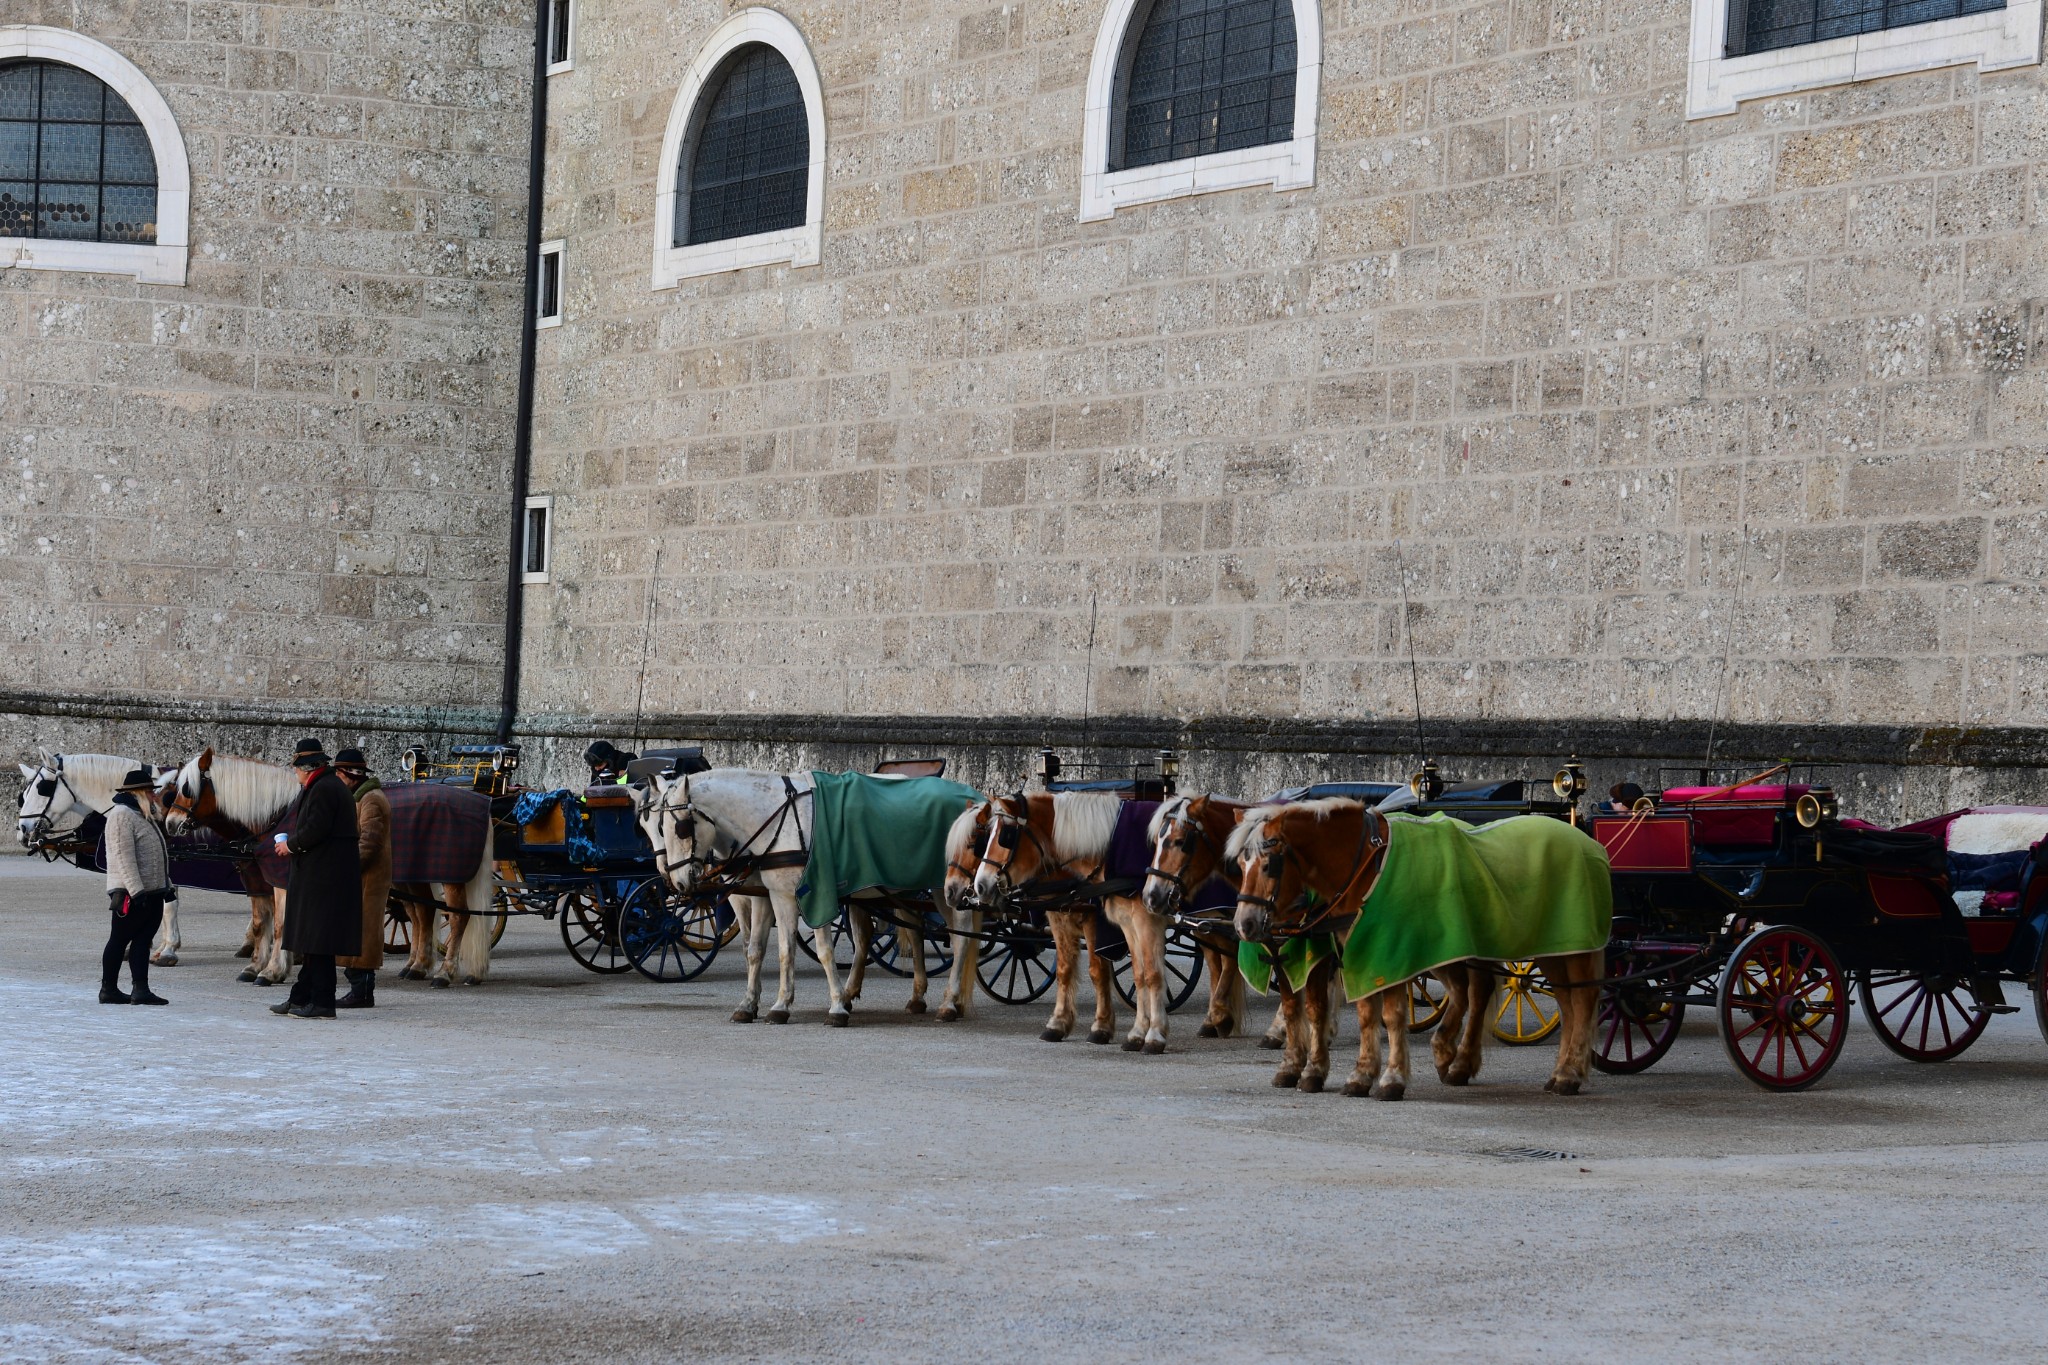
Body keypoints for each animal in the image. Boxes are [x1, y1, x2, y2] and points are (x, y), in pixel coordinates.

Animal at [160, 753, 495, 986]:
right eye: (171, 790)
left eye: (186, 788)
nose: (170, 824)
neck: (279, 814)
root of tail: (481, 802)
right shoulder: (260, 881)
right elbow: (259, 924)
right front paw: (257, 964)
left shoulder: (282, 881)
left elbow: (280, 925)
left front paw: (273, 969)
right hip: (414, 877)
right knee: (422, 914)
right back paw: (418, 966)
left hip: (451, 878)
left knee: (458, 918)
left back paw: (445, 971)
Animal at [1220, 802, 1605, 1096]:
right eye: (1239, 864)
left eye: (1269, 865)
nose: (1244, 924)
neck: (1365, 866)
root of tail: (1584, 840)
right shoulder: (1353, 951)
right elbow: (1357, 1013)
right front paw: (1356, 1074)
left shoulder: (1389, 952)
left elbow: (1387, 1015)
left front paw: (1388, 1078)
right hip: (1516, 949)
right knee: (1536, 999)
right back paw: (1465, 1060)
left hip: (1571, 947)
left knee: (1581, 1000)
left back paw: (1568, 1072)